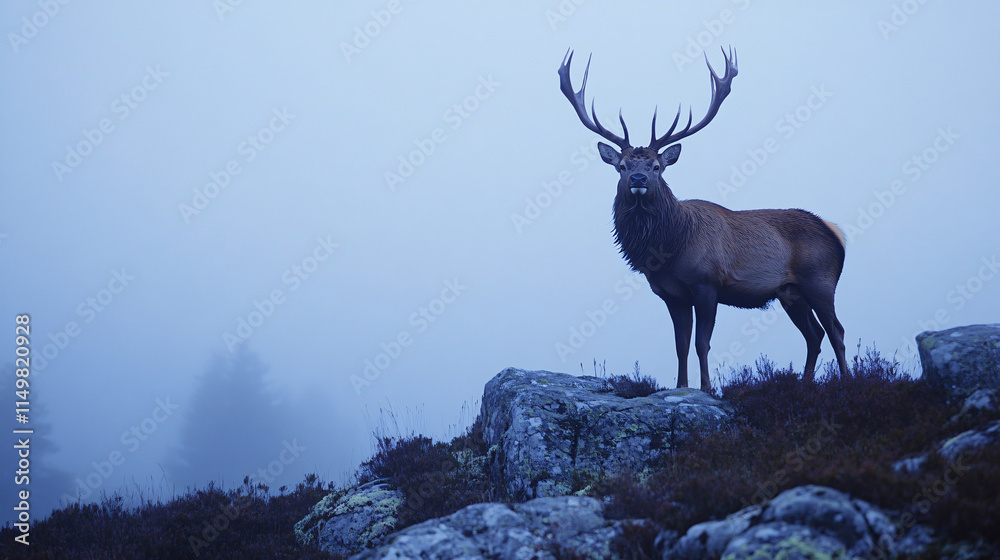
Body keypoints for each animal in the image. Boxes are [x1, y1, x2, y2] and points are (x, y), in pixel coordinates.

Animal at [558, 47, 850, 392]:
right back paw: (804, 385)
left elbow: (702, 343)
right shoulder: (671, 295)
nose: (638, 179)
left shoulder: (707, 284)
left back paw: (850, 382)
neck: (671, 246)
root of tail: (836, 234)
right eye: (622, 166)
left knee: (836, 331)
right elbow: (680, 344)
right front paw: (682, 385)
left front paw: (707, 388)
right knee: (814, 335)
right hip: (790, 293)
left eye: (657, 166)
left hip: (820, 280)